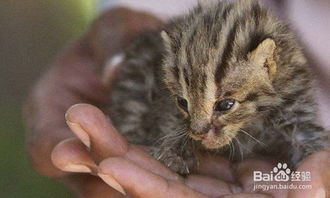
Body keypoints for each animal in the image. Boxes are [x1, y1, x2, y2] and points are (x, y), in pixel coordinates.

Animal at [107, 0, 328, 174]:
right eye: (182, 102)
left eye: (225, 105)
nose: (198, 133)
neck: (251, 122)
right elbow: (169, 120)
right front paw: (175, 151)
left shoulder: (295, 105)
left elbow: (308, 134)